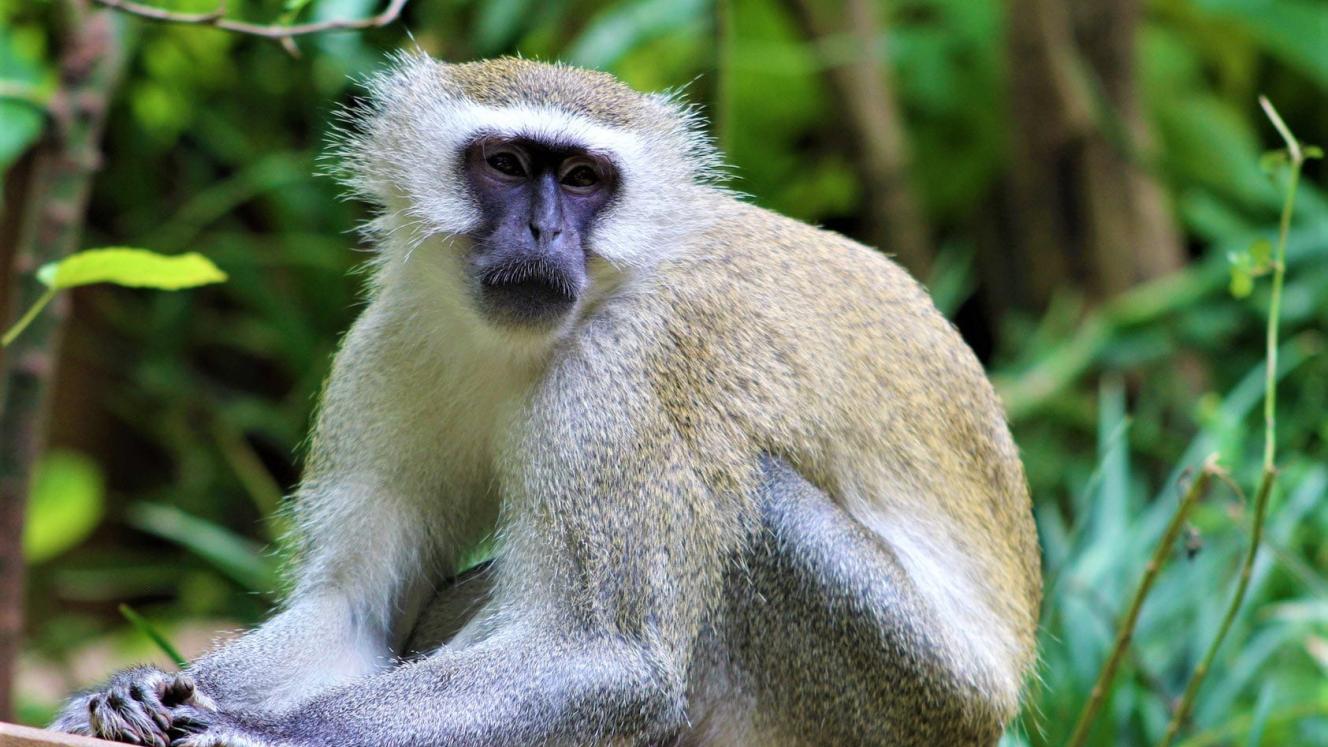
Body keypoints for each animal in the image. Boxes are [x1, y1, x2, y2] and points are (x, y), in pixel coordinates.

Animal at [52, 54, 1041, 746]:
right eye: (505, 162)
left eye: (580, 179)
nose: (540, 230)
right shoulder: (394, 337)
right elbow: (353, 612)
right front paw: (135, 689)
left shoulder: (627, 378)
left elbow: (606, 658)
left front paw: (258, 732)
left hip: (911, 695)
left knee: (754, 512)